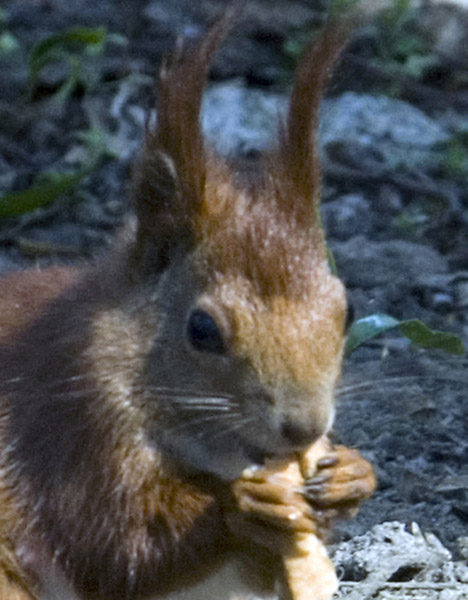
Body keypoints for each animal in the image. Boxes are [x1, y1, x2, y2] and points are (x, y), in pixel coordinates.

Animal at [0, 11, 374, 600]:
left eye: (349, 311)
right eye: (201, 330)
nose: (305, 427)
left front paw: (353, 476)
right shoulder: (67, 427)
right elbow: (117, 543)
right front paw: (240, 505)